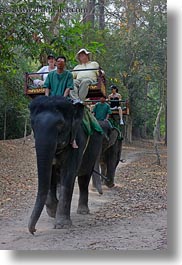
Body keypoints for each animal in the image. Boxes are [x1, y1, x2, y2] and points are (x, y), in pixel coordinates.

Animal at [27, 95, 103, 233]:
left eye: (60, 125)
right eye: (32, 124)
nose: (34, 230)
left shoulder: (77, 139)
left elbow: (68, 174)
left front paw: (62, 225)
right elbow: (50, 175)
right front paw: (53, 211)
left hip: (94, 150)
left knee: (84, 179)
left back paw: (83, 211)